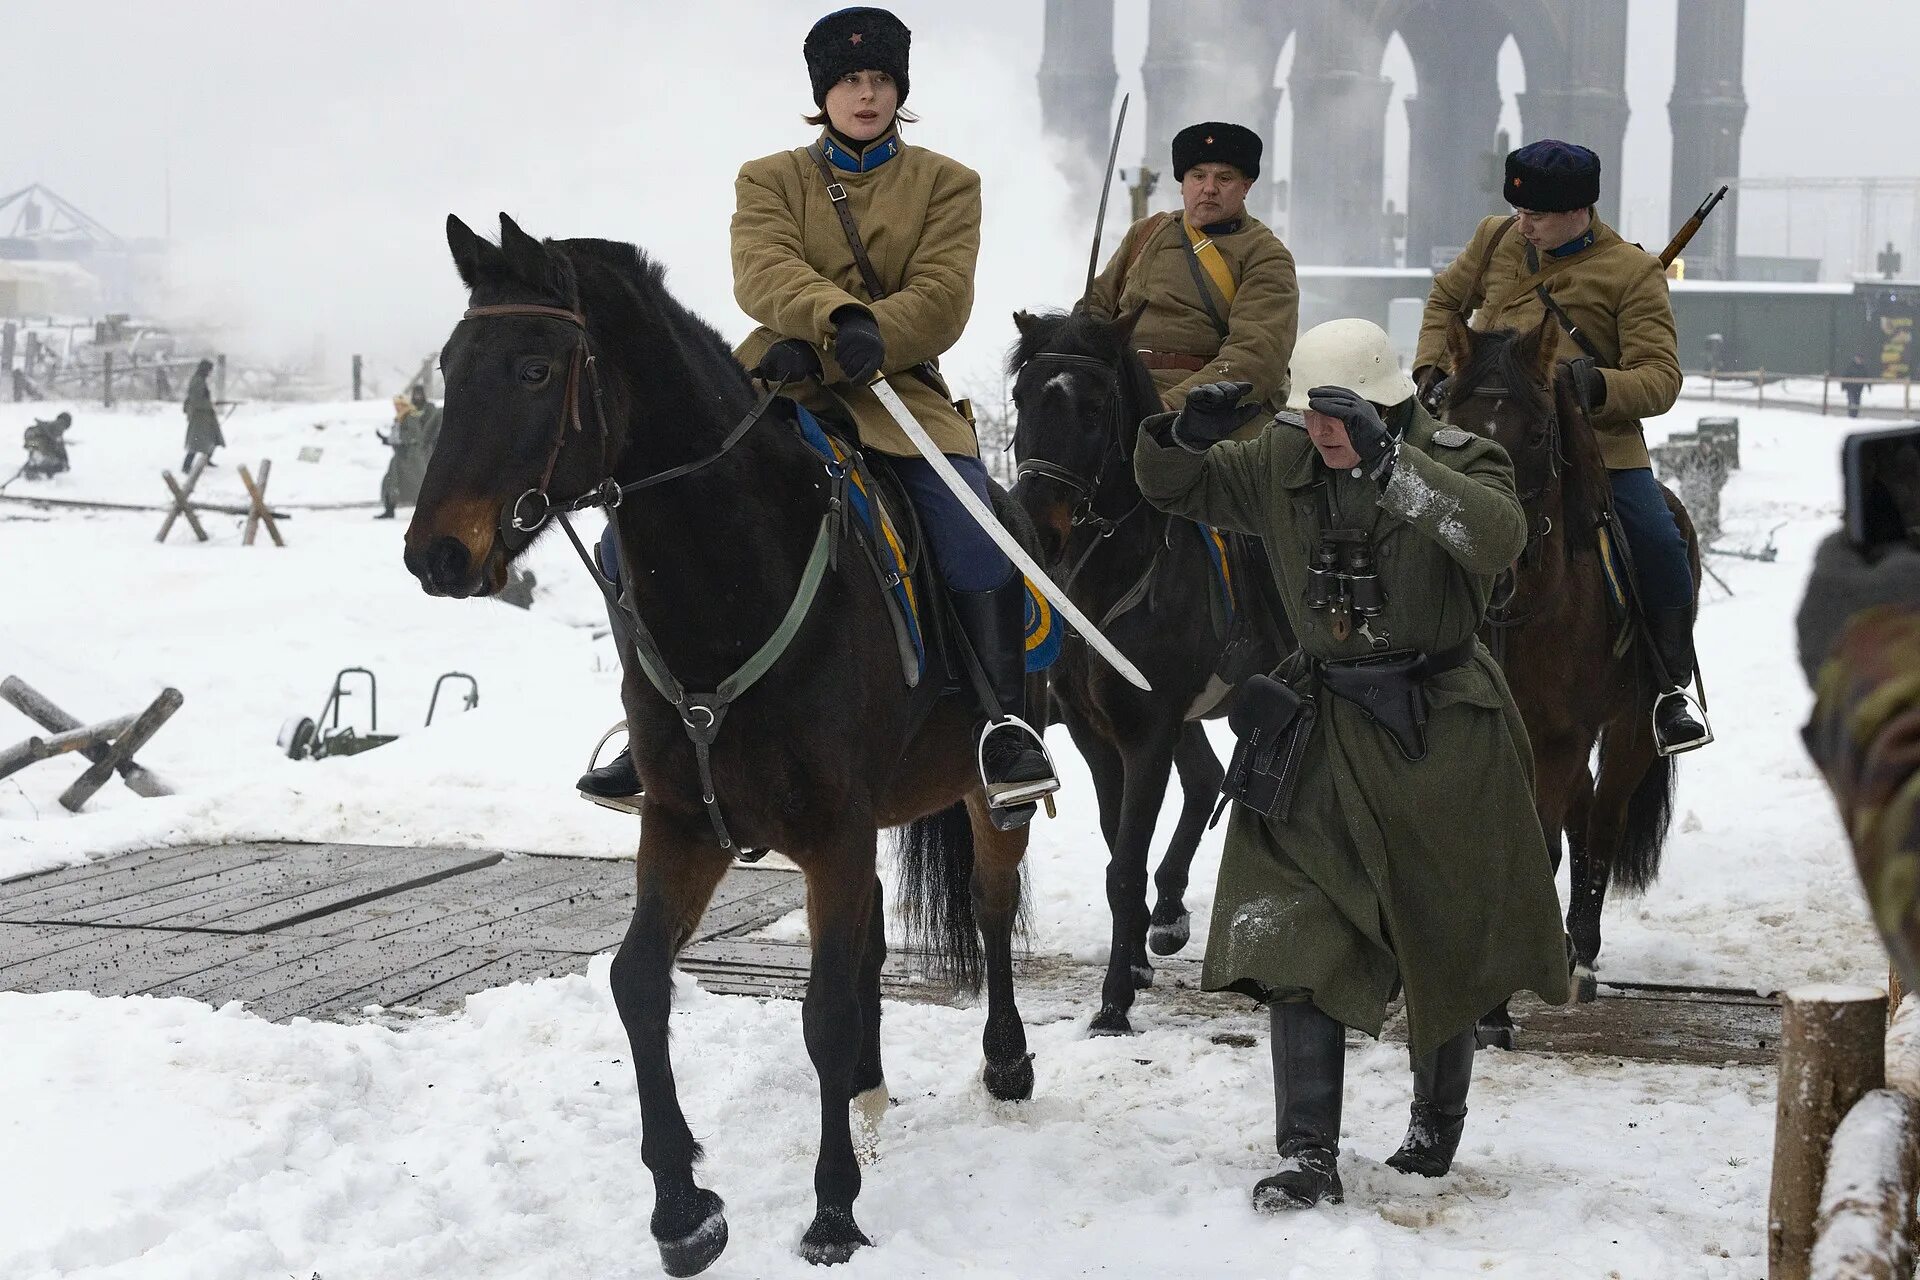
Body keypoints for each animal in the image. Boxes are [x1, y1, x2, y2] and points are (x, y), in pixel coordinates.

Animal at [405, 214, 1044, 1274]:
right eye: (452, 366)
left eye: (535, 369)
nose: (435, 554)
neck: (733, 577)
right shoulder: (684, 823)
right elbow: (637, 983)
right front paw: (681, 1205)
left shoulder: (831, 831)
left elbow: (821, 1011)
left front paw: (833, 1209)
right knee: (873, 939)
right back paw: (867, 1084)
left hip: (983, 793)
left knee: (991, 910)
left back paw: (1004, 1058)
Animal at [1006, 310, 1274, 1043]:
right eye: (1021, 397)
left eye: (1096, 407)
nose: (1036, 524)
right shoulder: (1096, 737)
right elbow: (1114, 849)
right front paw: (1133, 961)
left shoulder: (1147, 732)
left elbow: (1126, 863)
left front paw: (1113, 1004)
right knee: (1207, 780)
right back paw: (1170, 917)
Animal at [1443, 312, 1697, 1043]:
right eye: (1452, 424)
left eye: (1535, 434)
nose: (1490, 556)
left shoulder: (1560, 739)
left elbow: (1535, 845)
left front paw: (1496, 1010)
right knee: (1584, 821)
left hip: (1631, 733)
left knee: (1603, 823)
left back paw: (1581, 955)